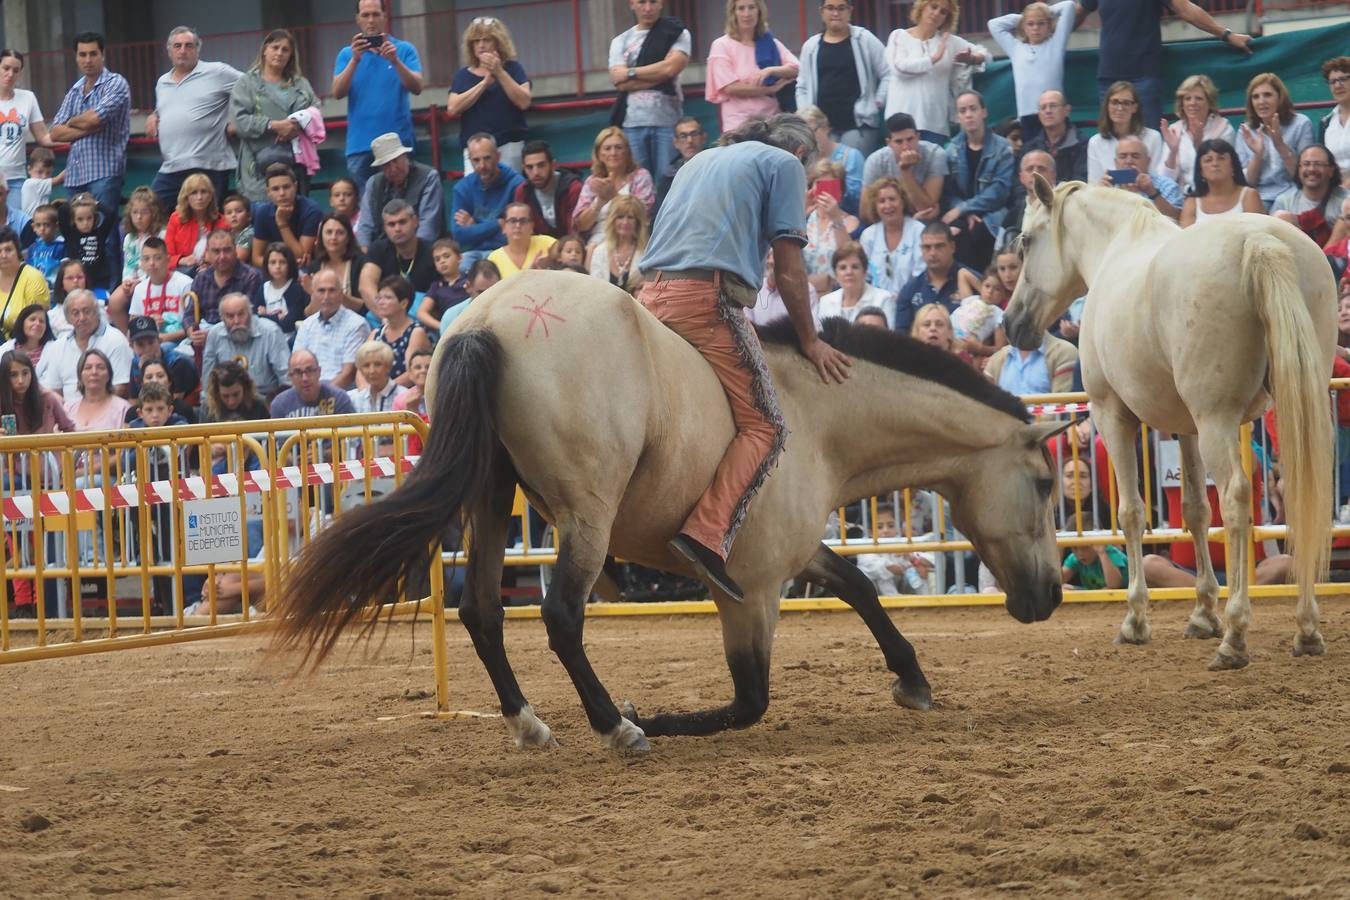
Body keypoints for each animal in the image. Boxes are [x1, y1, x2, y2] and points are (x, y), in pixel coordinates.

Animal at [274, 271, 1069, 750]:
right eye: (1043, 484)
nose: (1052, 595)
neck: (814, 416)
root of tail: (492, 321)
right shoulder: (751, 593)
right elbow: (749, 701)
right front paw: (646, 715)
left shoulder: (788, 557)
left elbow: (859, 586)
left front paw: (911, 676)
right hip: (585, 515)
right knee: (561, 616)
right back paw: (614, 726)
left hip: (492, 500)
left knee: (483, 612)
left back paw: (530, 723)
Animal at [1009, 178, 1333, 669]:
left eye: (1026, 241)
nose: (1012, 324)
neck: (1116, 247)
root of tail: (1261, 242)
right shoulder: (1187, 428)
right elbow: (1196, 511)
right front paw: (1202, 613)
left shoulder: (1112, 414)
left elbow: (1131, 513)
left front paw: (1135, 620)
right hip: (1290, 408)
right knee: (1303, 495)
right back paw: (1307, 629)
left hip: (1218, 419)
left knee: (1237, 499)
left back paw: (1235, 636)